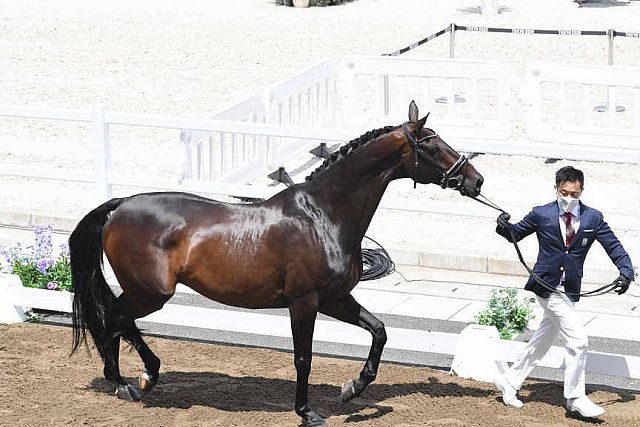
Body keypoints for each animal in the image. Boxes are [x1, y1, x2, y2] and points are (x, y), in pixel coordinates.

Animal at [67, 102, 482, 426]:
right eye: (432, 145)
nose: (475, 180)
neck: (322, 215)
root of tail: (119, 205)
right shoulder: (304, 302)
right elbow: (303, 357)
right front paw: (307, 412)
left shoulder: (335, 299)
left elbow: (378, 331)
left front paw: (353, 388)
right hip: (150, 293)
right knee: (114, 319)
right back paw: (133, 380)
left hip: (145, 292)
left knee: (116, 321)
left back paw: (132, 379)